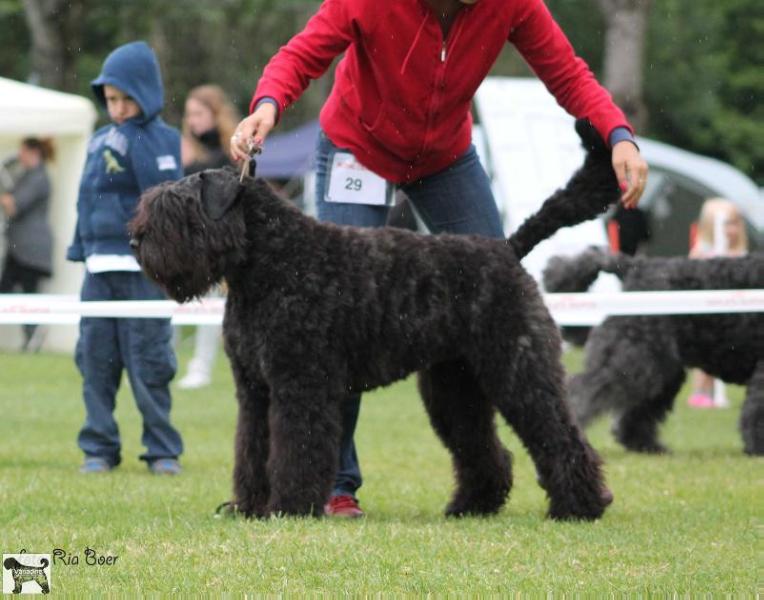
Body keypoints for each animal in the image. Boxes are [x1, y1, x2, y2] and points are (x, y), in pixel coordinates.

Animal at [544, 247, 764, 454]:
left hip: (660, 369)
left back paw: (646, 445)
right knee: (582, 391)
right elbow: (757, 407)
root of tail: (635, 267)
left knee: (636, 412)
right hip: (635, 360)